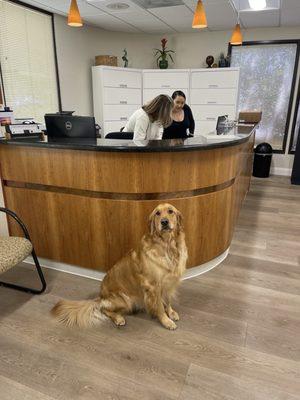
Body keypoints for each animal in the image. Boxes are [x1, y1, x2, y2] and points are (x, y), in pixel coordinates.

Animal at [51, 205, 188, 330]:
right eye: (157, 213)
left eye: (170, 211)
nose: (164, 222)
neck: (167, 246)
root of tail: (101, 296)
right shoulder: (153, 286)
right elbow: (159, 307)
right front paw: (166, 321)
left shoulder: (169, 282)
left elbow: (168, 300)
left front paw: (171, 313)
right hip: (125, 300)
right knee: (104, 310)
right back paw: (118, 319)